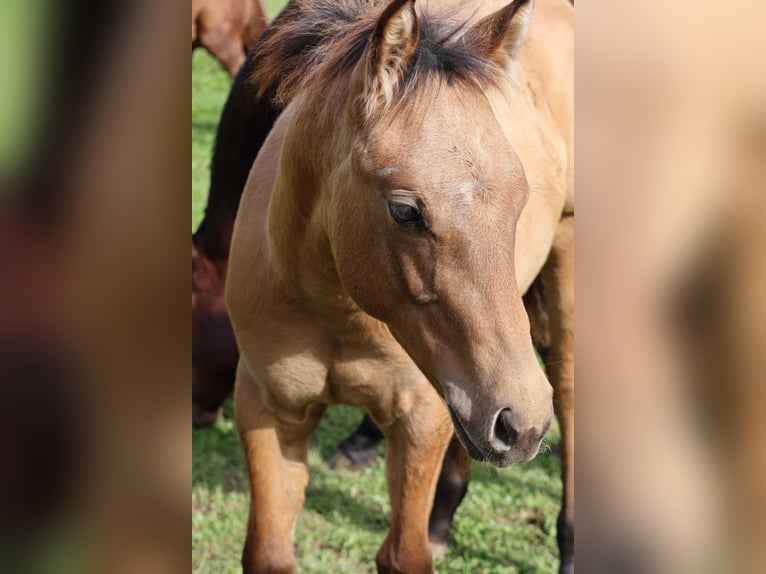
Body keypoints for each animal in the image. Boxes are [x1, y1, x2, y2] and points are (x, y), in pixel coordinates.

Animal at [226, 0, 573, 572]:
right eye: (405, 210)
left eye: (520, 197)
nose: (521, 422)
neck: (336, 310)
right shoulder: (269, 411)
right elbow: (268, 552)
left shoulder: (421, 420)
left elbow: (403, 554)